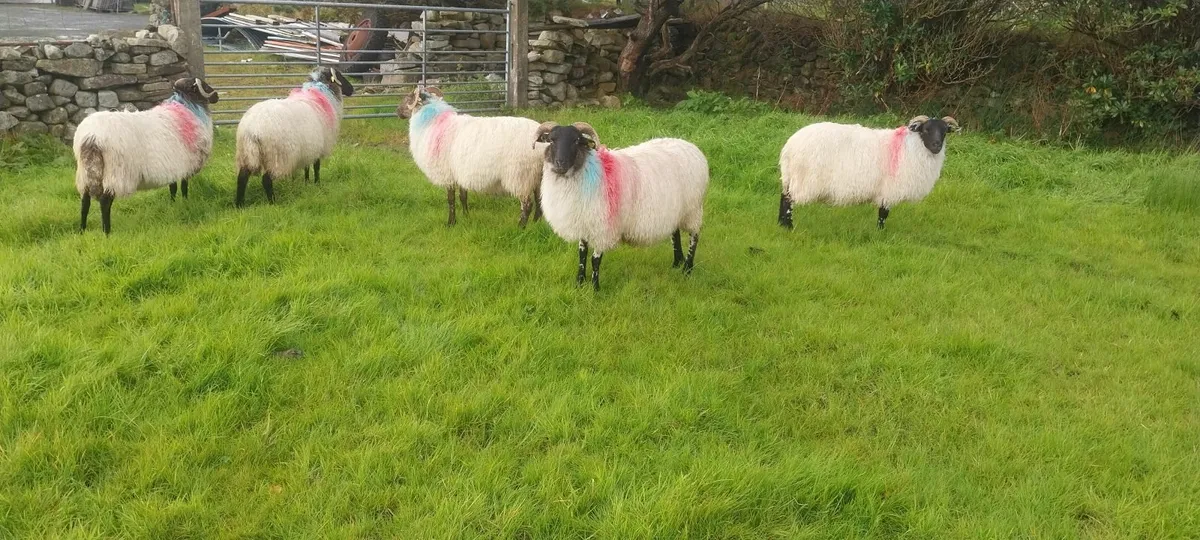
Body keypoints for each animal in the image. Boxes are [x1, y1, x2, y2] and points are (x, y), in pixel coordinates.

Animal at [74, 77, 220, 235]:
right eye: (204, 85)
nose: (217, 96)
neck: (187, 107)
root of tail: (92, 138)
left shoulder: (172, 166)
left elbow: (173, 187)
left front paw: (173, 204)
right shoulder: (185, 165)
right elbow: (184, 187)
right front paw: (185, 202)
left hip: (86, 172)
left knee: (85, 201)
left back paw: (82, 229)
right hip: (116, 173)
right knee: (105, 202)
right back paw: (107, 232)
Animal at [234, 67, 354, 207]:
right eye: (339, 74)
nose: (352, 89)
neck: (319, 96)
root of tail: (252, 129)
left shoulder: (308, 146)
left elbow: (307, 166)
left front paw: (307, 182)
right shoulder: (318, 145)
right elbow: (317, 167)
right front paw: (317, 184)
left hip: (247, 153)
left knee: (242, 178)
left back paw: (239, 204)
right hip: (278, 157)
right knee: (266, 180)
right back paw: (272, 202)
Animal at [395, 86, 545, 228]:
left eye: (408, 98)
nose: (397, 111)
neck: (432, 121)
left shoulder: (448, 174)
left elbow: (450, 199)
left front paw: (451, 223)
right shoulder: (460, 173)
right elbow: (463, 196)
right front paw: (466, 216)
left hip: (521, 176)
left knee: (527, 204)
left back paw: (520, 227)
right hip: (537, 175)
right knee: (539, 200)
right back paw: (536, 223)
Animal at [534, 121, 709, 291]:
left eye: (576, 141)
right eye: (551, 140)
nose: (560, 164)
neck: (588, 171)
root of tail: (690, 146)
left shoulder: (603, 228)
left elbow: (595, 259)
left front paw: (595, 288)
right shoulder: (584, 221)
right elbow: (582, 254)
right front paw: (579, 283)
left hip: (693, 209)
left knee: (694, 237)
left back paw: (687, 269)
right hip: (675, 210)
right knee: (675, 234)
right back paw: (676, 263)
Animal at [778, 115, 960, 230]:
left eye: (945, 131)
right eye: (926, 130)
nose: (937, 146)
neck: (910, 148)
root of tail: (789, 147)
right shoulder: (889, 189)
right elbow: (883, 213)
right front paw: (880, 232)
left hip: (790, 178)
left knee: (783, 196)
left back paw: (781, 225)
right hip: (803, 179)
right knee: (788, 201)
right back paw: (789, 227)